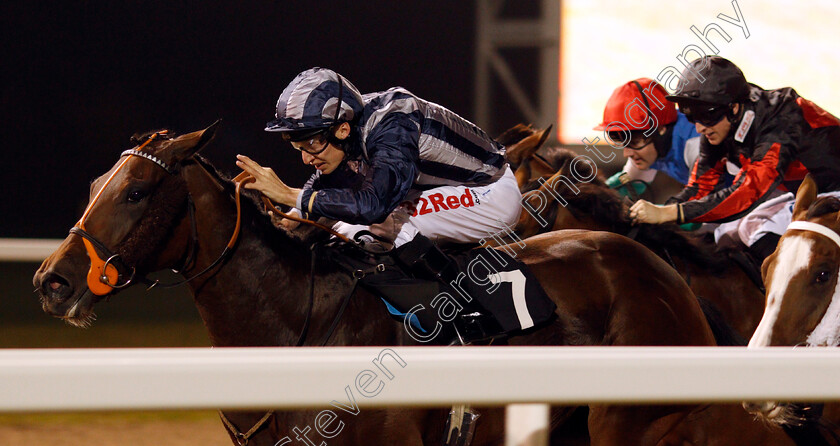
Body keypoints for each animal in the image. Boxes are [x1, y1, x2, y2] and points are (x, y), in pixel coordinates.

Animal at [34, 123, 796, 444]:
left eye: (135, 192)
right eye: (98, 185)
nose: (52, 281)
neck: (296, 329)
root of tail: (661, 275)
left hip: (631, 424)